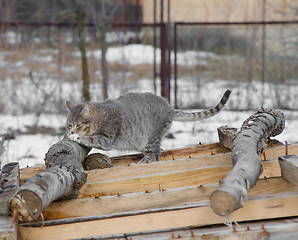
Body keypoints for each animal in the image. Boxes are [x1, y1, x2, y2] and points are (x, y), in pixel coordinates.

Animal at [66, 90, 232, 163]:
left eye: (78, 125)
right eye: (69, 124)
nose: (72, 130)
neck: (102, 115)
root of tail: (170, 109)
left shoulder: (107, 138)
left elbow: (92, 138)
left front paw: (76, 136)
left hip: (150, 138)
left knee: (153, 156)